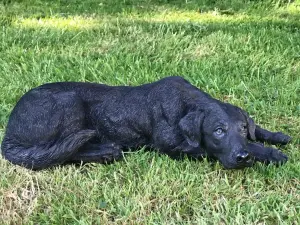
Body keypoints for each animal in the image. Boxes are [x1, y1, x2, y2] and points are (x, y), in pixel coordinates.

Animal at [0, 76, 290, 170]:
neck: (186, 103)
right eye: (218, 131)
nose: (242, 158)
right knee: (62, 152)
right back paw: (105, 151)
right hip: (69, 102)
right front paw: (270, 154)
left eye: (242, 128)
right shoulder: (173, 146)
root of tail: (9, 134)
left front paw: (276, 136)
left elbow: (258, 131)